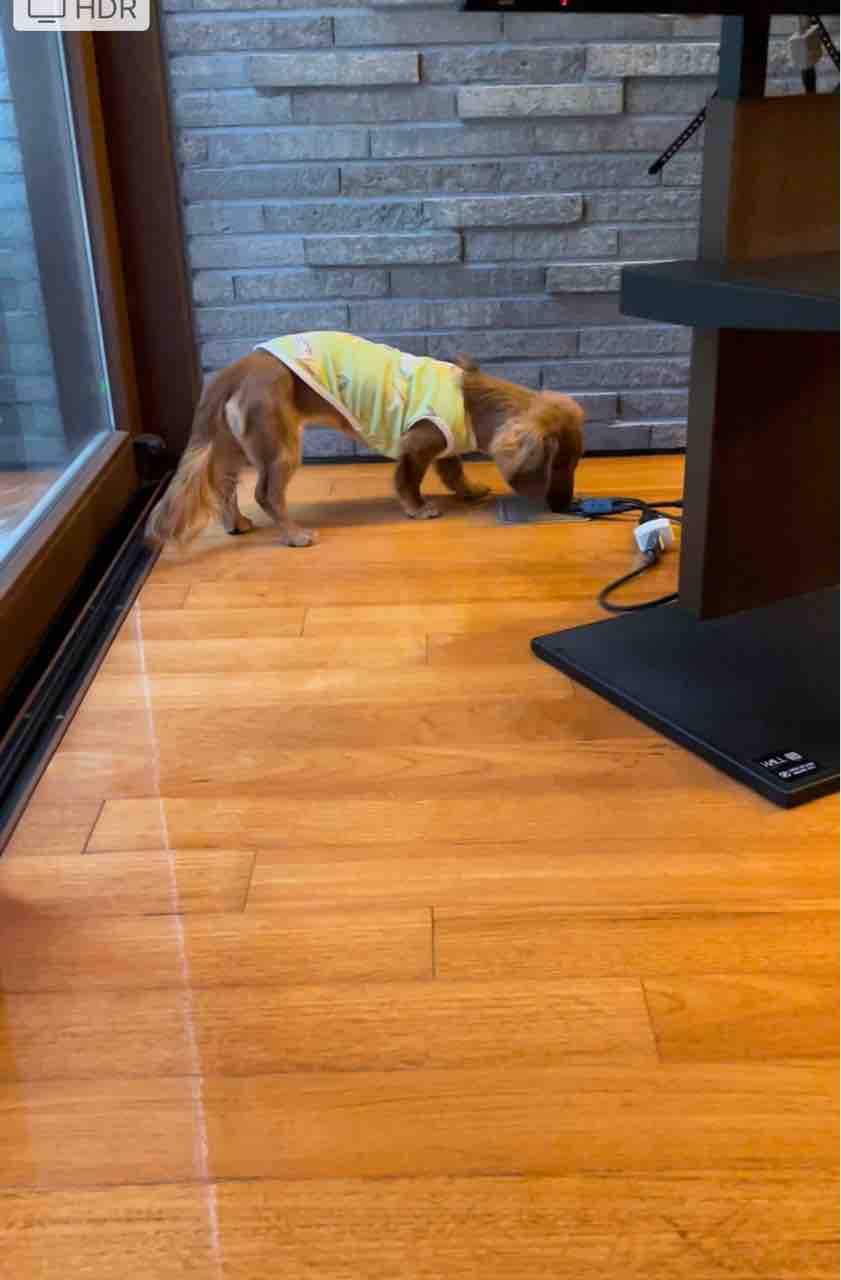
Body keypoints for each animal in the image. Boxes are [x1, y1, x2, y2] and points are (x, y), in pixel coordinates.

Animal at [145, 331, 584, 548]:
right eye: (559, 464)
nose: (566, 506)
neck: (470, 398)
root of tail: (237, 368)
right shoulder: (418, 443)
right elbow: (408, 481)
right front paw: (418, 509)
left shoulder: (444, 444)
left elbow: (454, 471)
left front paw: (470, 489)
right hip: (279, 446)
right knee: (266, 493)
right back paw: (295, 535)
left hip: (235, 446)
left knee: (223, 487)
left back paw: (235, 524)